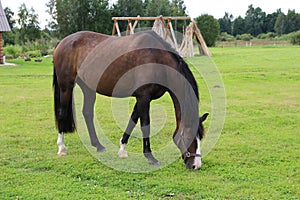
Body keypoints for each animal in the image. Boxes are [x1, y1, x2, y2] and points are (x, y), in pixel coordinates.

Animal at [53, 30, 209, 170]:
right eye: (189, 137)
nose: (196, 165)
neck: (157, 59)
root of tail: (62, 42)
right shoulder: (144, 98)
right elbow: (145, 125)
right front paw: (150, 157)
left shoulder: (142, 98)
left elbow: (132, 121)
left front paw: (122, 150)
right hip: (66, 87)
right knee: (62, 113)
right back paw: (62, 148)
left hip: (88, 88)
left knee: (87, 113)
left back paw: (98, 145)